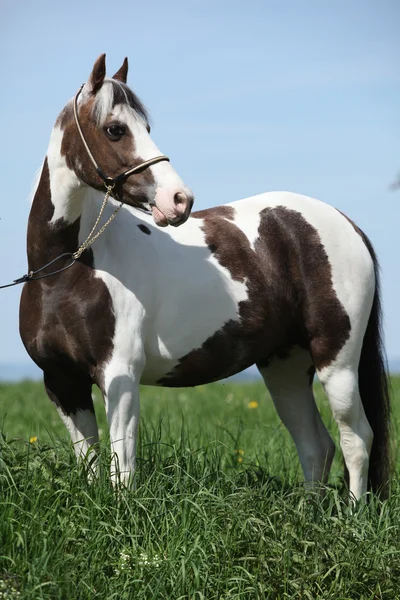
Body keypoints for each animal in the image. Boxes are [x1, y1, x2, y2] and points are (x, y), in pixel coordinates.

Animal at [19, 55, 390, 502]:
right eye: (115, 129)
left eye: (146, 127)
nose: (180, 200)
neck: (66, 272)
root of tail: (345, 223)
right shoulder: (62, 383)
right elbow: (90, 465)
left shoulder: (119, 376)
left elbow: (121, 469)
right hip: (284, 364)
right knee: (316, 445)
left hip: (337, 360)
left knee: (357, 439)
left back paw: (352, 514)